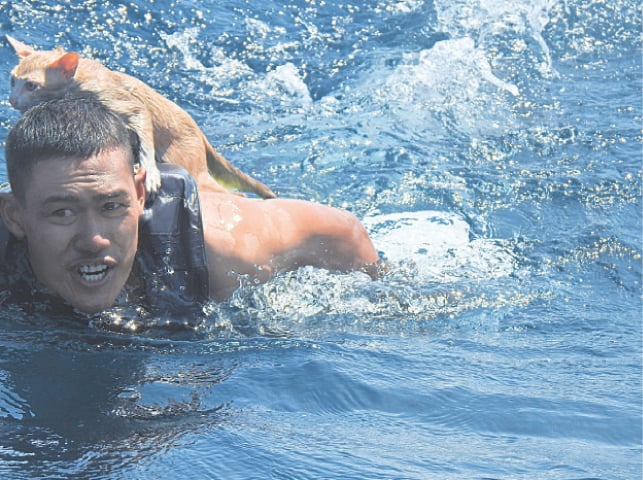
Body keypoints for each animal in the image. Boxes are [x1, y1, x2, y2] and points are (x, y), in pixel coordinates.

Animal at [6, 34, 276, 198]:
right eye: (12, 81)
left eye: (31, 86)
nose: (11, 100)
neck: (77, 82)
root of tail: (199, 132)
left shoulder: (119, 101)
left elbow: (140, 118)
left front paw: (150, 172)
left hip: (185, 158)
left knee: (231, 193)